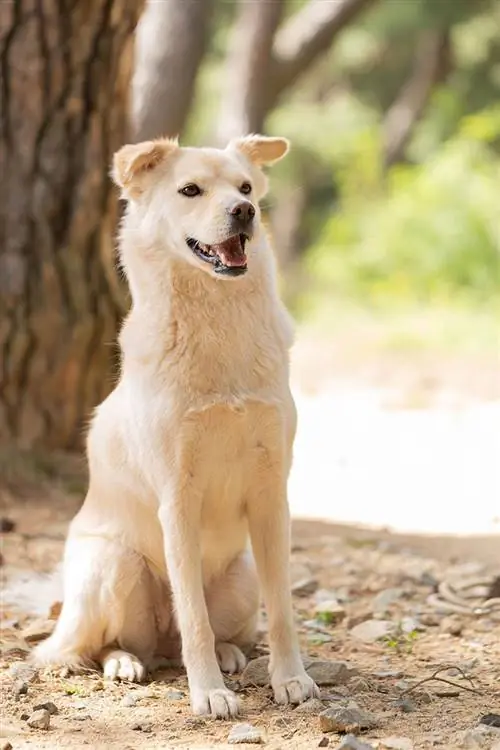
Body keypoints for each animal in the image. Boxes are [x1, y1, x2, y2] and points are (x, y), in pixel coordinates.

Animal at [33, 135, 318, 724]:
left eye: (246, 187)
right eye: (191, 190)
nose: (244, 212)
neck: (217, 322)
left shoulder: (272, 496)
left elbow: (282, 611)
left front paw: (290, 680)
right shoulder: (178, 499)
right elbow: (192, 616)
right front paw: (208, 693)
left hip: (242, 575)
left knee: (206, 632)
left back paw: (229, 652)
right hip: (113, 565)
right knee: (93, 648)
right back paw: (125, 663)